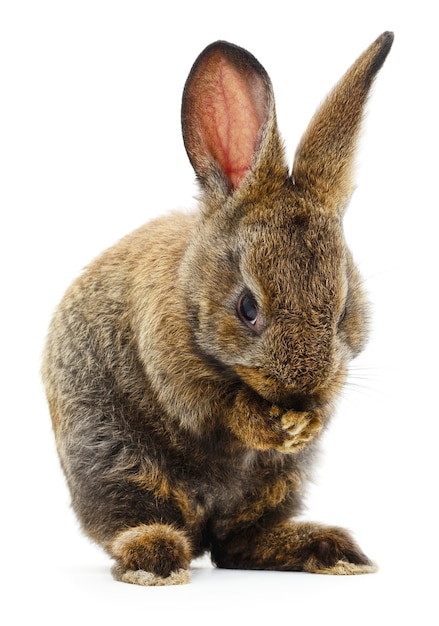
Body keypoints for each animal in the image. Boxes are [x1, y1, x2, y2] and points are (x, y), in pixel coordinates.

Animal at [43, 31, 396, 584]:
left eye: (343, 310)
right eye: (247, 308)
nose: (301, 391)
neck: (193, 293)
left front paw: (307, 425)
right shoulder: (178, 371)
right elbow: (219, 409)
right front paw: (274, 424)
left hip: (274, 486)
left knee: (236, 544)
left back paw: (329, 551)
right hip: (112, 458)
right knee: (142, 523)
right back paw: (157, 561)